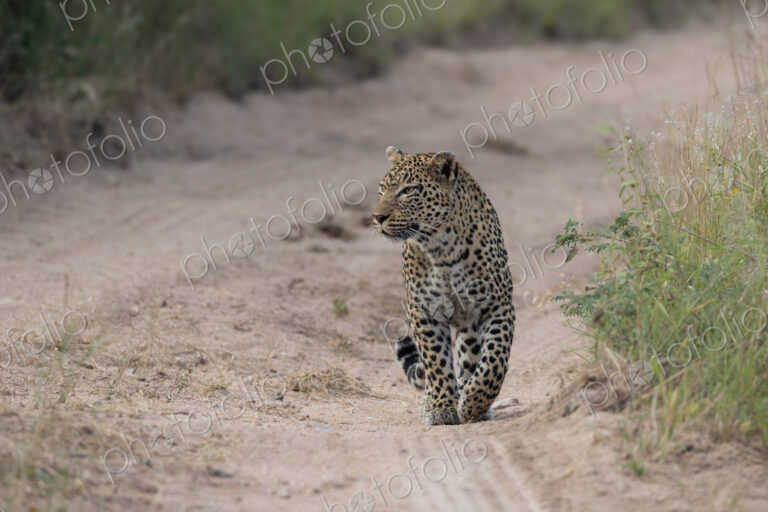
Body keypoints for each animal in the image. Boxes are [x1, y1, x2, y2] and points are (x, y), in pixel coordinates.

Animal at [373, 146, 516, 425]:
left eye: (408, 190)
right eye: (382, 188)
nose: (378, 217)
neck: (442, 248)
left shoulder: (498, 306)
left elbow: (494, 361)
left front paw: (473, 403)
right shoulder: (424, 311)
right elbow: (436, 360)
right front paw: (440, 408)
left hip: (469, 324)